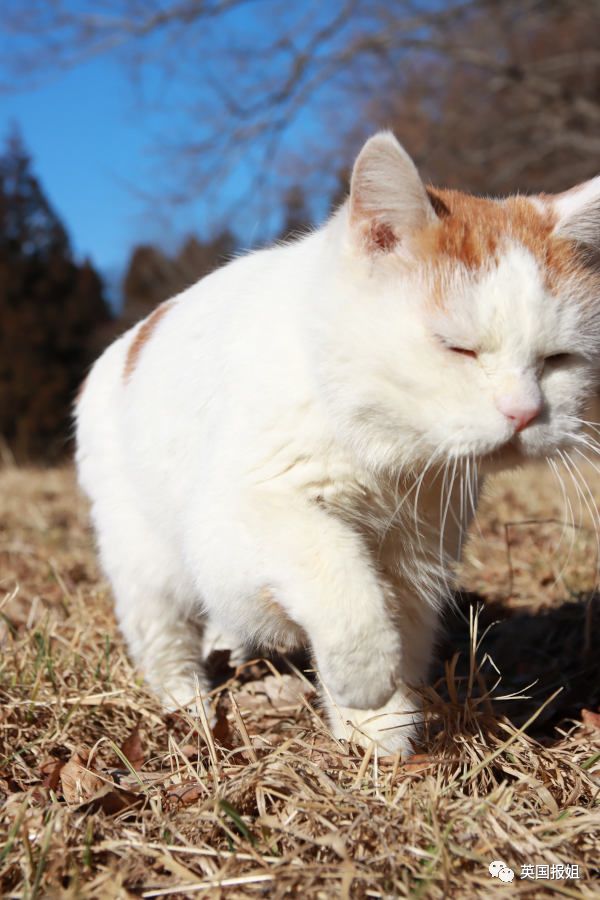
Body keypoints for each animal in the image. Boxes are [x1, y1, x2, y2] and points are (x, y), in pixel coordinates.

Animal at [75, 132, 600, 752]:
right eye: (459, 349)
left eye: (557, 361)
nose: (524, 412)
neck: (386, 457)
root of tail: (124, 344)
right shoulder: (236, 520)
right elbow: (335, 567)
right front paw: (365, 677)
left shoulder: (417, 555)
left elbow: (403, 628)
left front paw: (379, 736)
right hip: (147, 563)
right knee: (164, 639)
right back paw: (190, 707)